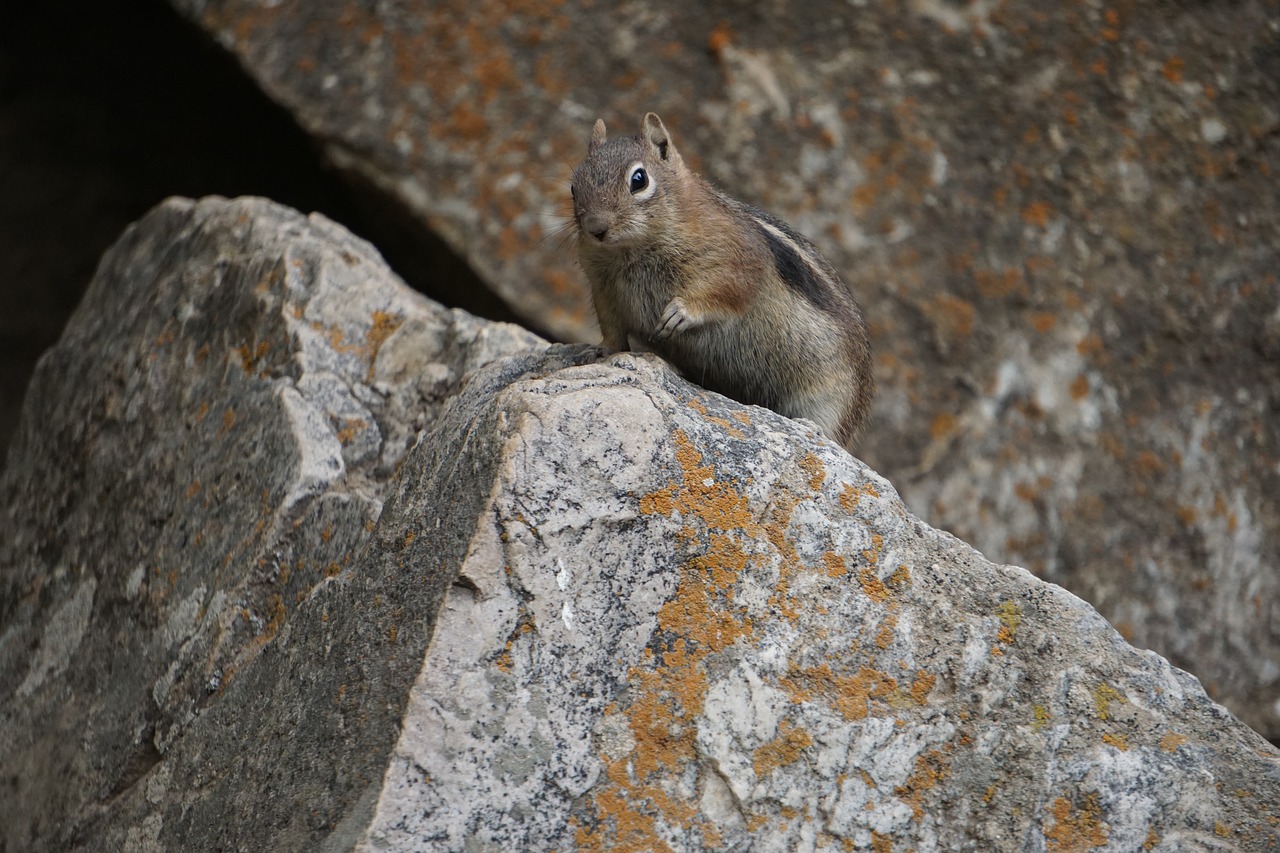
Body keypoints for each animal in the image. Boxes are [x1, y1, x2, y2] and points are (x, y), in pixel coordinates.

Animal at [573, 111, 880, 450]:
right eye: (573, 186)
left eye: (639, 180)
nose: (596, 228)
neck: (632, 250)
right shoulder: (603, 288)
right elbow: (613, 330)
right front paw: (600, 351)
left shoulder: (737, 262)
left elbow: (727, 292)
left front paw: (681, 312)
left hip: (833, 395)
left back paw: (809, 427)